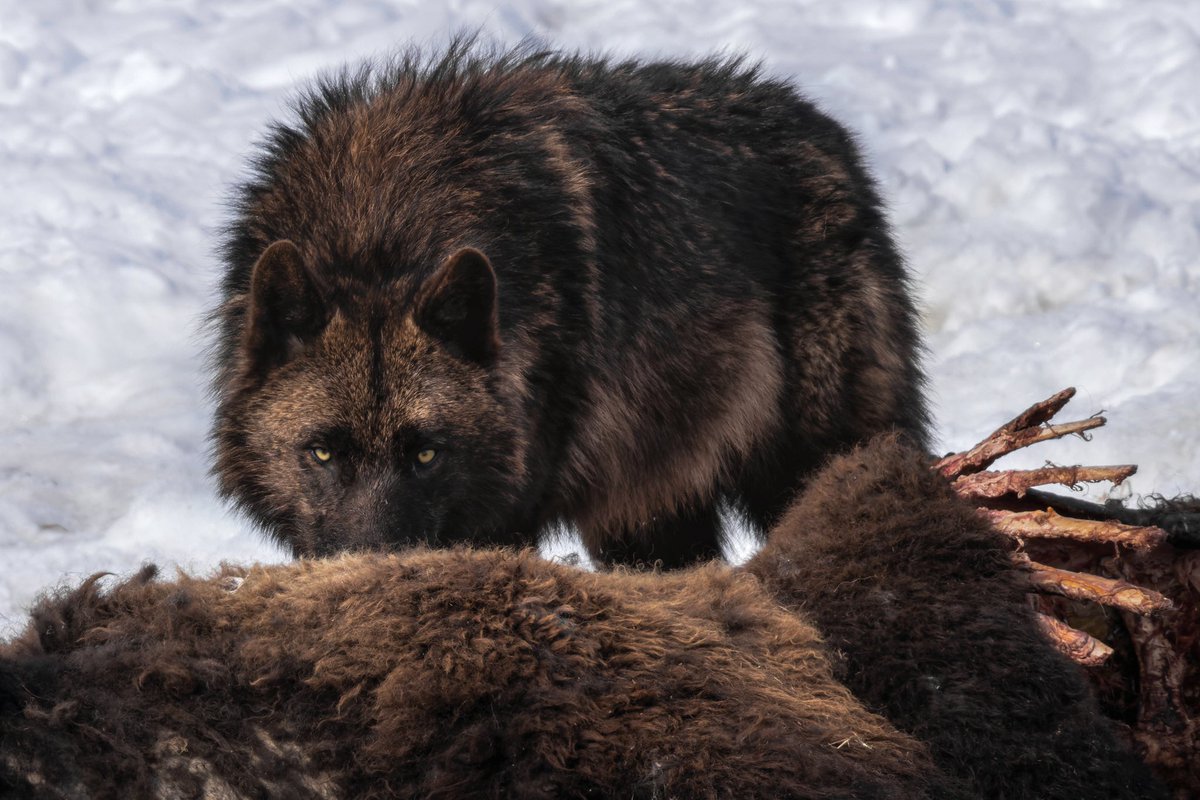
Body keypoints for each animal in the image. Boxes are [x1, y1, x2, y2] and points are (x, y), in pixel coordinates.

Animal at [211, 41, 928, 565]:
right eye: (322, 453)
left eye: (427, 453)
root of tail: (830, 136)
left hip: (809, 461)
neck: (379, 232)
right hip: (646, 515)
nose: (375, 571)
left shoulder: (508, 517)